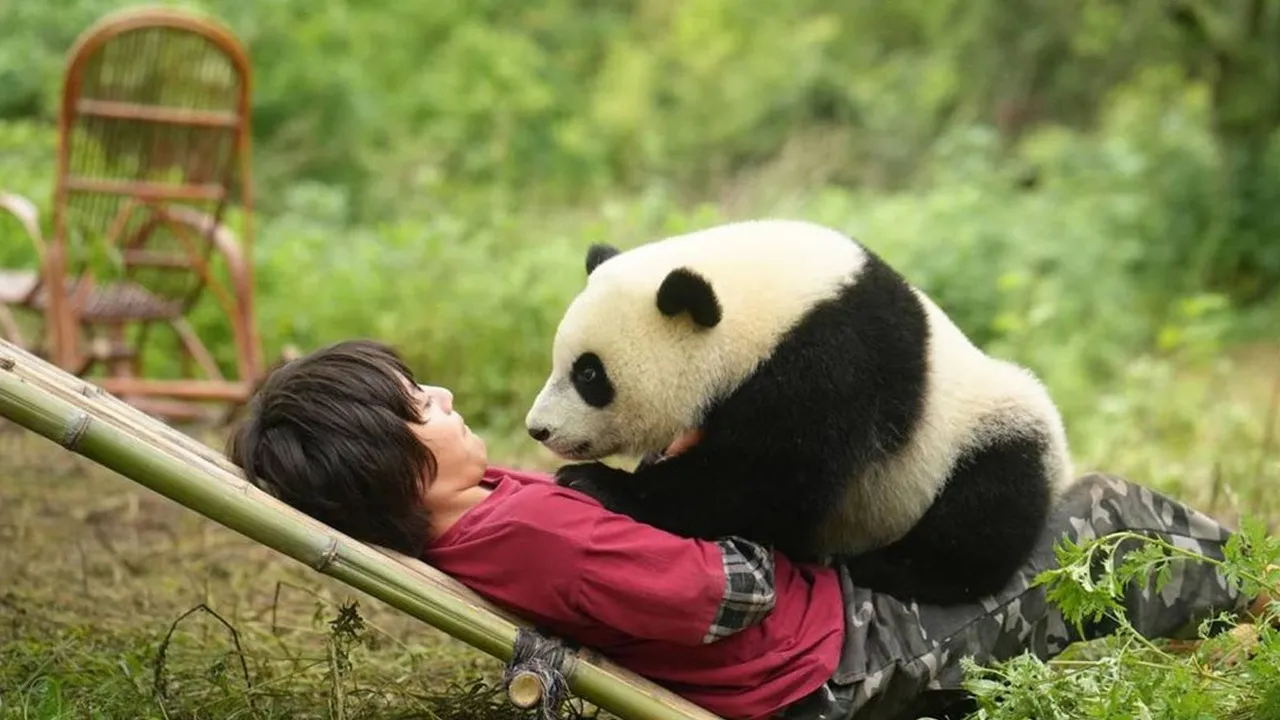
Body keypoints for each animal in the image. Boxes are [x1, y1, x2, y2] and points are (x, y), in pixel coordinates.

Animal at [525, 219, 1074, 605]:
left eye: (589, 374)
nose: (538, 429)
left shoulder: (833, 362)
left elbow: (765, 480)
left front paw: (597, 482)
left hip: (982, 433)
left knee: (985, 510)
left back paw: (887, 569)